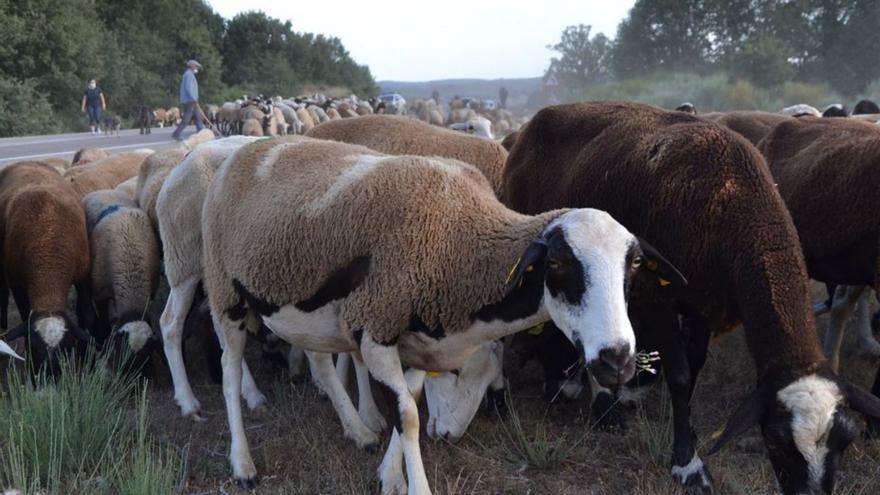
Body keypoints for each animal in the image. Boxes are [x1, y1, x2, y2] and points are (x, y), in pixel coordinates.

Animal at [0, 163, 93, 376]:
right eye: (33, 348)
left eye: (67, 348)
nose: (49, 376)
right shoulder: (16, 283)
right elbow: (25, 314)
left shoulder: (83, 275)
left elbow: (85, 314)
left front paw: (85, 362)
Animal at [203, 136, 684, 492]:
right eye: (558, 262)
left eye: (633, 264)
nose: (617, 359)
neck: (460, 243)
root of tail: (251, 146)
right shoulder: (377, 329)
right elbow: (409, 418)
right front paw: (409, 484)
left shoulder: (422, 339)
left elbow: (412, 403)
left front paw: (387, 474)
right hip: (224, 290)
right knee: (229, 372)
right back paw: (242, 464)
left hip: (302, 308)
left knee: (319, 362)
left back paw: (357, 431)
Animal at [502, 101, 880, 495]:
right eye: (775, 441)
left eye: (845, 441)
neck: (736, 201)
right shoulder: (658, 299)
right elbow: (681, 375)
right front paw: (688, 462)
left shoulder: (706, 305)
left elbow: (694, 364)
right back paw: (585, 396)